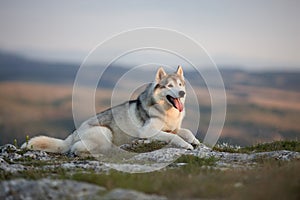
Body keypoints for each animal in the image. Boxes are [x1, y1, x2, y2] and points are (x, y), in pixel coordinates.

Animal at [22, 66, 200, 155]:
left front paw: (194, 141)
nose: (182, 93)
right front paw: (186, 145)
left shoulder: (174, 128)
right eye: (169, 86)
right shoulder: (147, 132)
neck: (167, 111)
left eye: (180, 85)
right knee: (76, 149)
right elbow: (173, 137)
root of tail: (73, 134)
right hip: (105, 132)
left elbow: (186, 131)